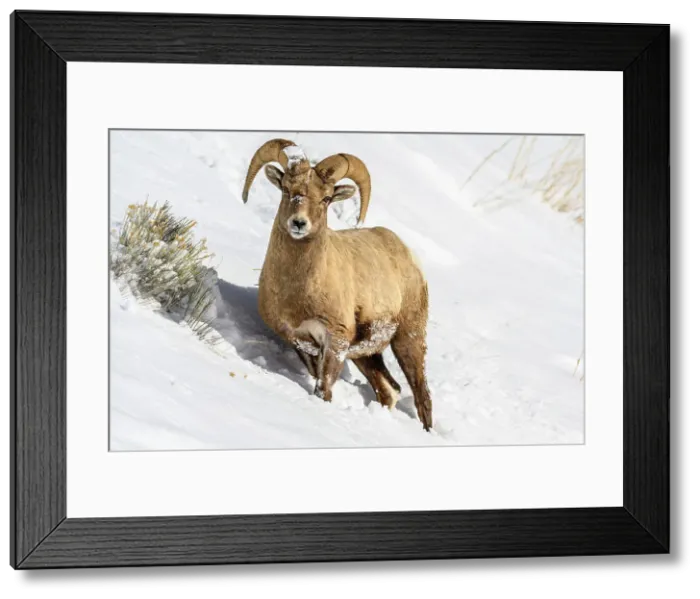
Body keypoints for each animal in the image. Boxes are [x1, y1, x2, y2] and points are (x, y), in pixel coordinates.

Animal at [241, 138, 433, 431]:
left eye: (326, 198)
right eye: (286, 189)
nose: (299, 223)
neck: (298, 290)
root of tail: (405, 251)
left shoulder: (336, 342)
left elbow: (324, 389)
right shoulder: (300, 340)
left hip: (408, 340)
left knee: (422, 397)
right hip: (366, 356)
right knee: (390, 391)